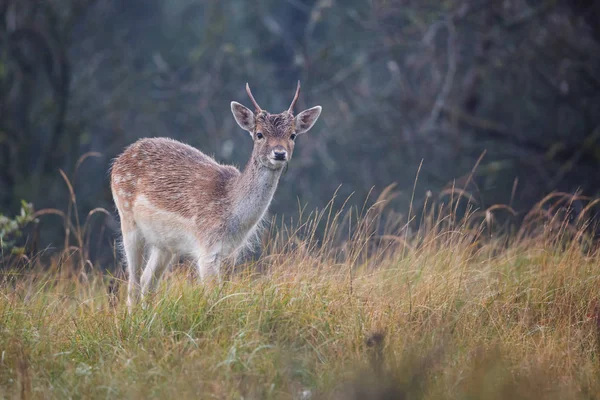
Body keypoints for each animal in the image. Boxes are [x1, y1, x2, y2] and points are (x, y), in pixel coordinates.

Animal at [110, 82, 322, 310]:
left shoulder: (231, 253)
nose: (280, 153)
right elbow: (213, 297)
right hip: (127, 218)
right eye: (259, 134)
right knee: (133, 283)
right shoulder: (207, 247)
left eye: (292, 135)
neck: (231, 212)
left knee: (147, 281)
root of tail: (119, 159)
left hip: (165, 243)